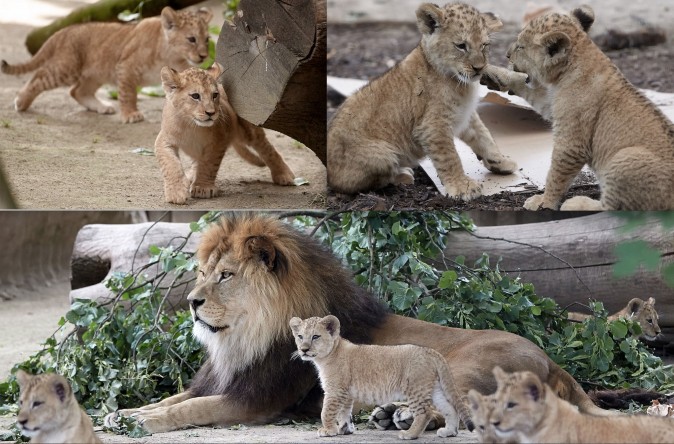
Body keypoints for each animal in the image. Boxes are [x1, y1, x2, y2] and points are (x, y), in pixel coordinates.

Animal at [1, 7, 211, 123]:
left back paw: (102, 107)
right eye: (192, 39)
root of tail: (63, 31)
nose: (203, 55)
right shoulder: (125, 68)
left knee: (77, 91)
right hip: (66, 68)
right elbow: (128, 94)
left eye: (207, 39)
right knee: (39, 77)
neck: (171, 55)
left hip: (95, 74)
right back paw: (21, 102)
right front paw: (131, 114)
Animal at [104, 213, 610, 433]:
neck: (241, 340)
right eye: (203, 273)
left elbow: (187, 410)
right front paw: (122, 413)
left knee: (464, 410)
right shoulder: (216, 382)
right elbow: (171, 399)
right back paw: (388, 414)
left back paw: (400, 416)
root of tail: (551, 360)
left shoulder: (253, 401)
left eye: (226, 276)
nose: (191, 302)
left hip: (461, 367)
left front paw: (142, 423)